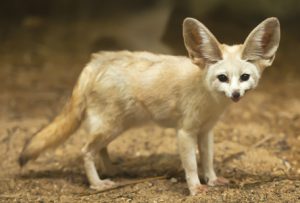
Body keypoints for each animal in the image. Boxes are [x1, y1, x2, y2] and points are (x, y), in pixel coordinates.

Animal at [19, 17, 280, 195]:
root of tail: (95, 62)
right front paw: (195, 188)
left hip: (115, 127)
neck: (210, 101)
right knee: (85, 151)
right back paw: (97, 183)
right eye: (223, 78)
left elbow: (207, 160)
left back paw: (111, 170)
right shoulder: (185, 132)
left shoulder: (206, 130)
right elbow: (191, 164)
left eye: (244, 77)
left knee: (99, 149)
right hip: (110, 127)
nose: (235, 94)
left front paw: (213, 179)